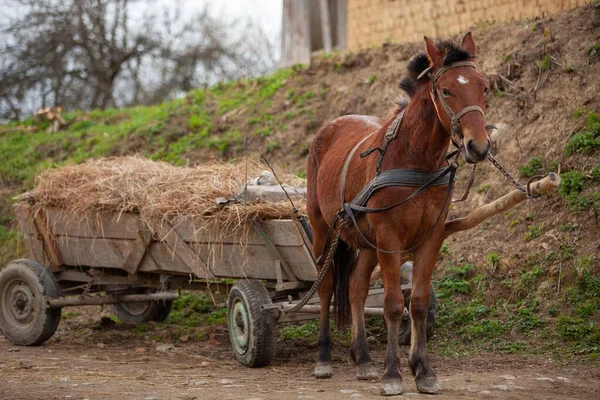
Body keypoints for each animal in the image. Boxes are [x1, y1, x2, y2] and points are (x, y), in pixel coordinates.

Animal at [308, 32, 490, 396]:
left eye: (484, 87)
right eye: (446, 90)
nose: (478, 147)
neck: (414, 157)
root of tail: (330, 127)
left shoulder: (432, 236)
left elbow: (416, 302)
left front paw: (423, 371)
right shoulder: (389, 237)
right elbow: (393, 304)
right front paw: (392, 373)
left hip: (365, 240)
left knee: (356, 288)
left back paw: (364, 359)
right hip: (323, 229)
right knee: (326, 285)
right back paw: (324, 357)